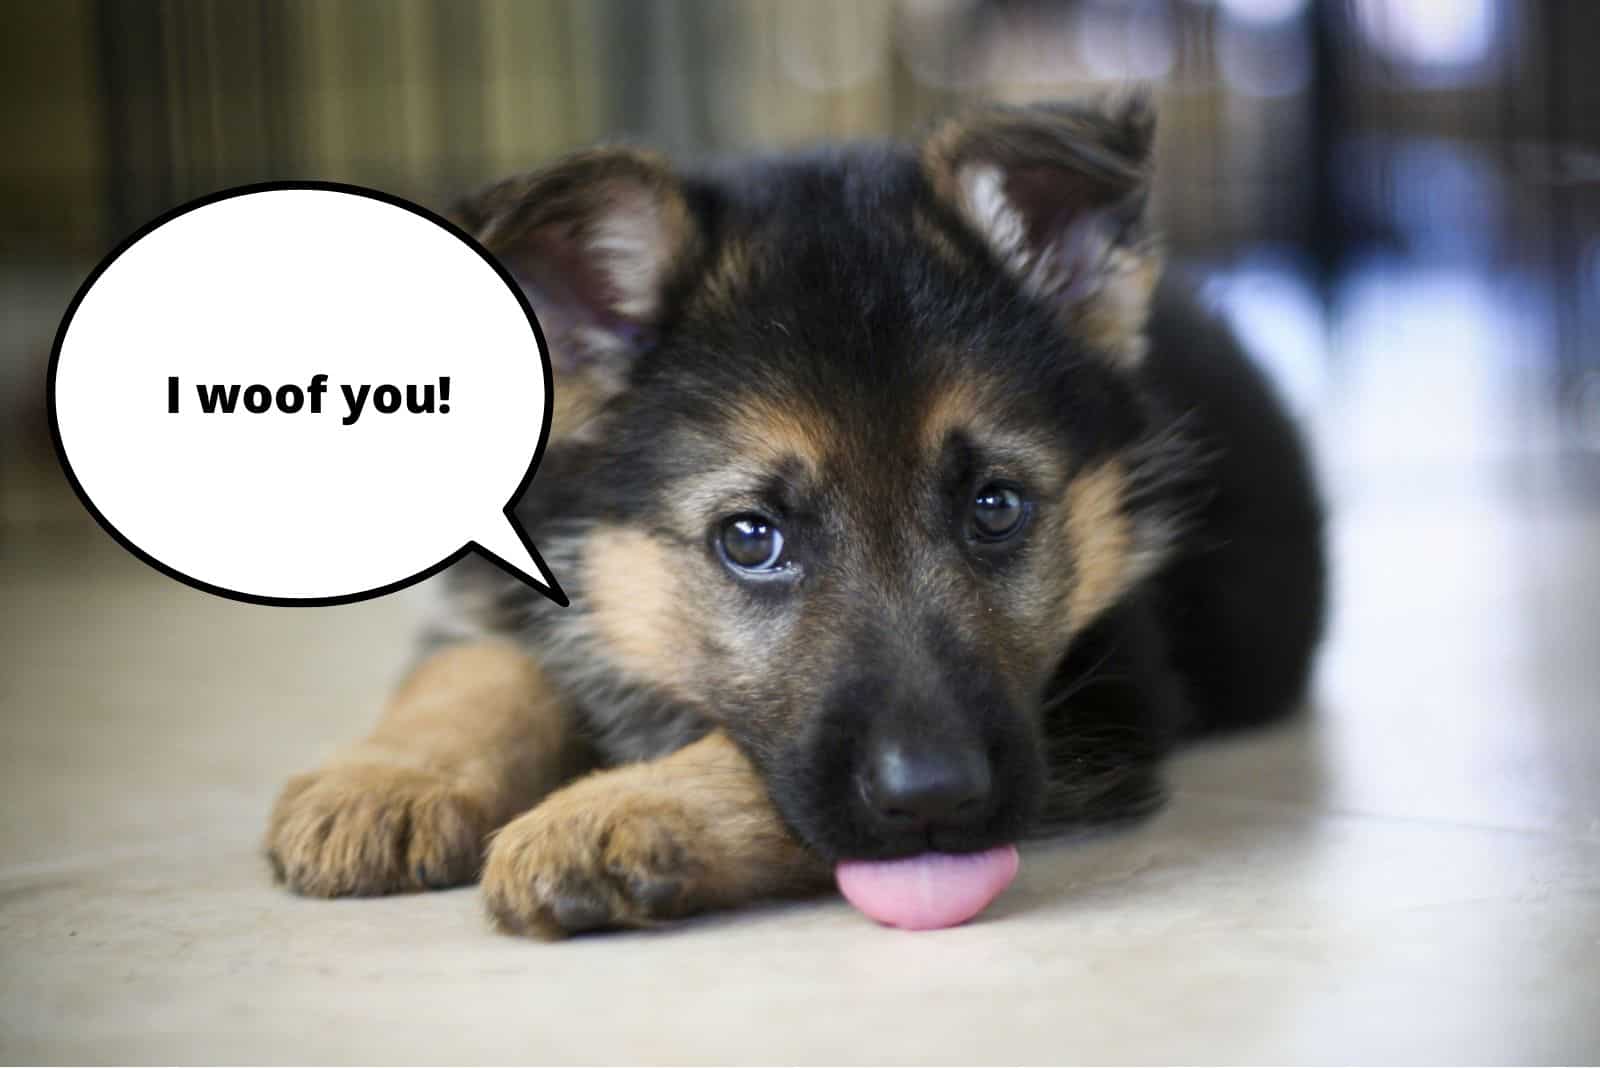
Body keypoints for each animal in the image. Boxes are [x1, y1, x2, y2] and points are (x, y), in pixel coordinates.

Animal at [265, 97, 1324, 933]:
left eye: (996, 507)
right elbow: (477, 671)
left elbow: (747, 764)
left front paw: (615, 814)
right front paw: (390, 780)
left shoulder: (1106, 698)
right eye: (750, 539)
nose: (936, 798)